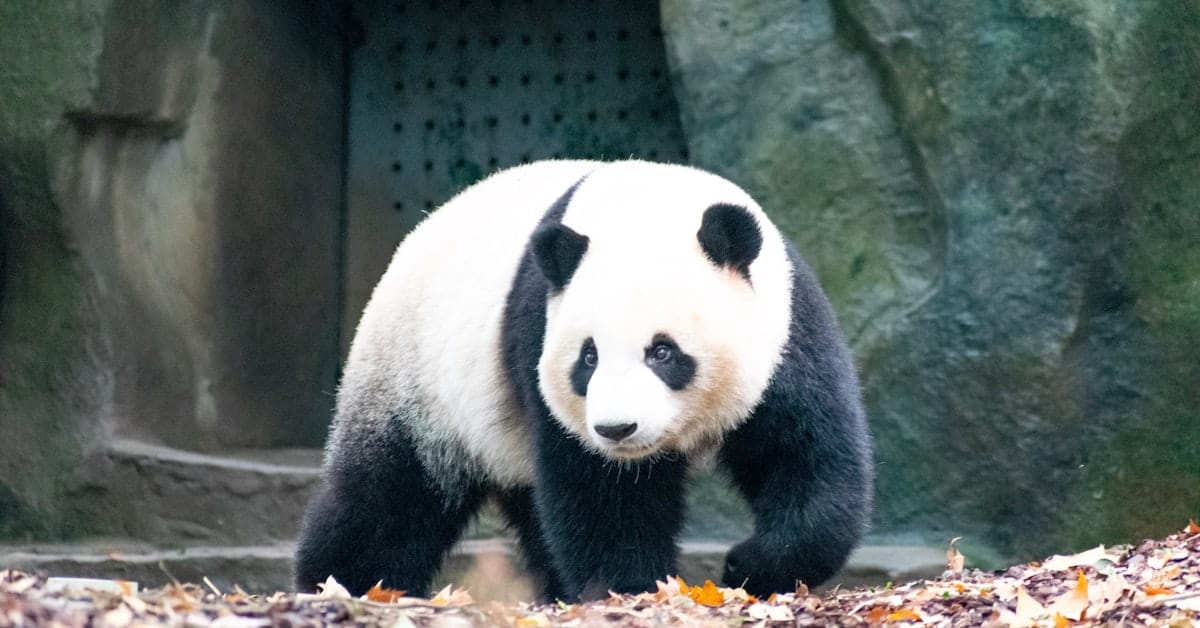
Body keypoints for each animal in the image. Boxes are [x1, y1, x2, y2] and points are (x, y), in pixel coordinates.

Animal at [294, 159, 872, 601]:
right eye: (587, 358)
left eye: (663, 352)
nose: (618, 429)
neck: (646, 207)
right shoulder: (539, 336)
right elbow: (601, 493)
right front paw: (634, 588)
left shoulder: (787, 333)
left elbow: (807, 457)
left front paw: (749, 565)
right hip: (416, 380)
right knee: (390, 497)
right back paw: (343, 583)